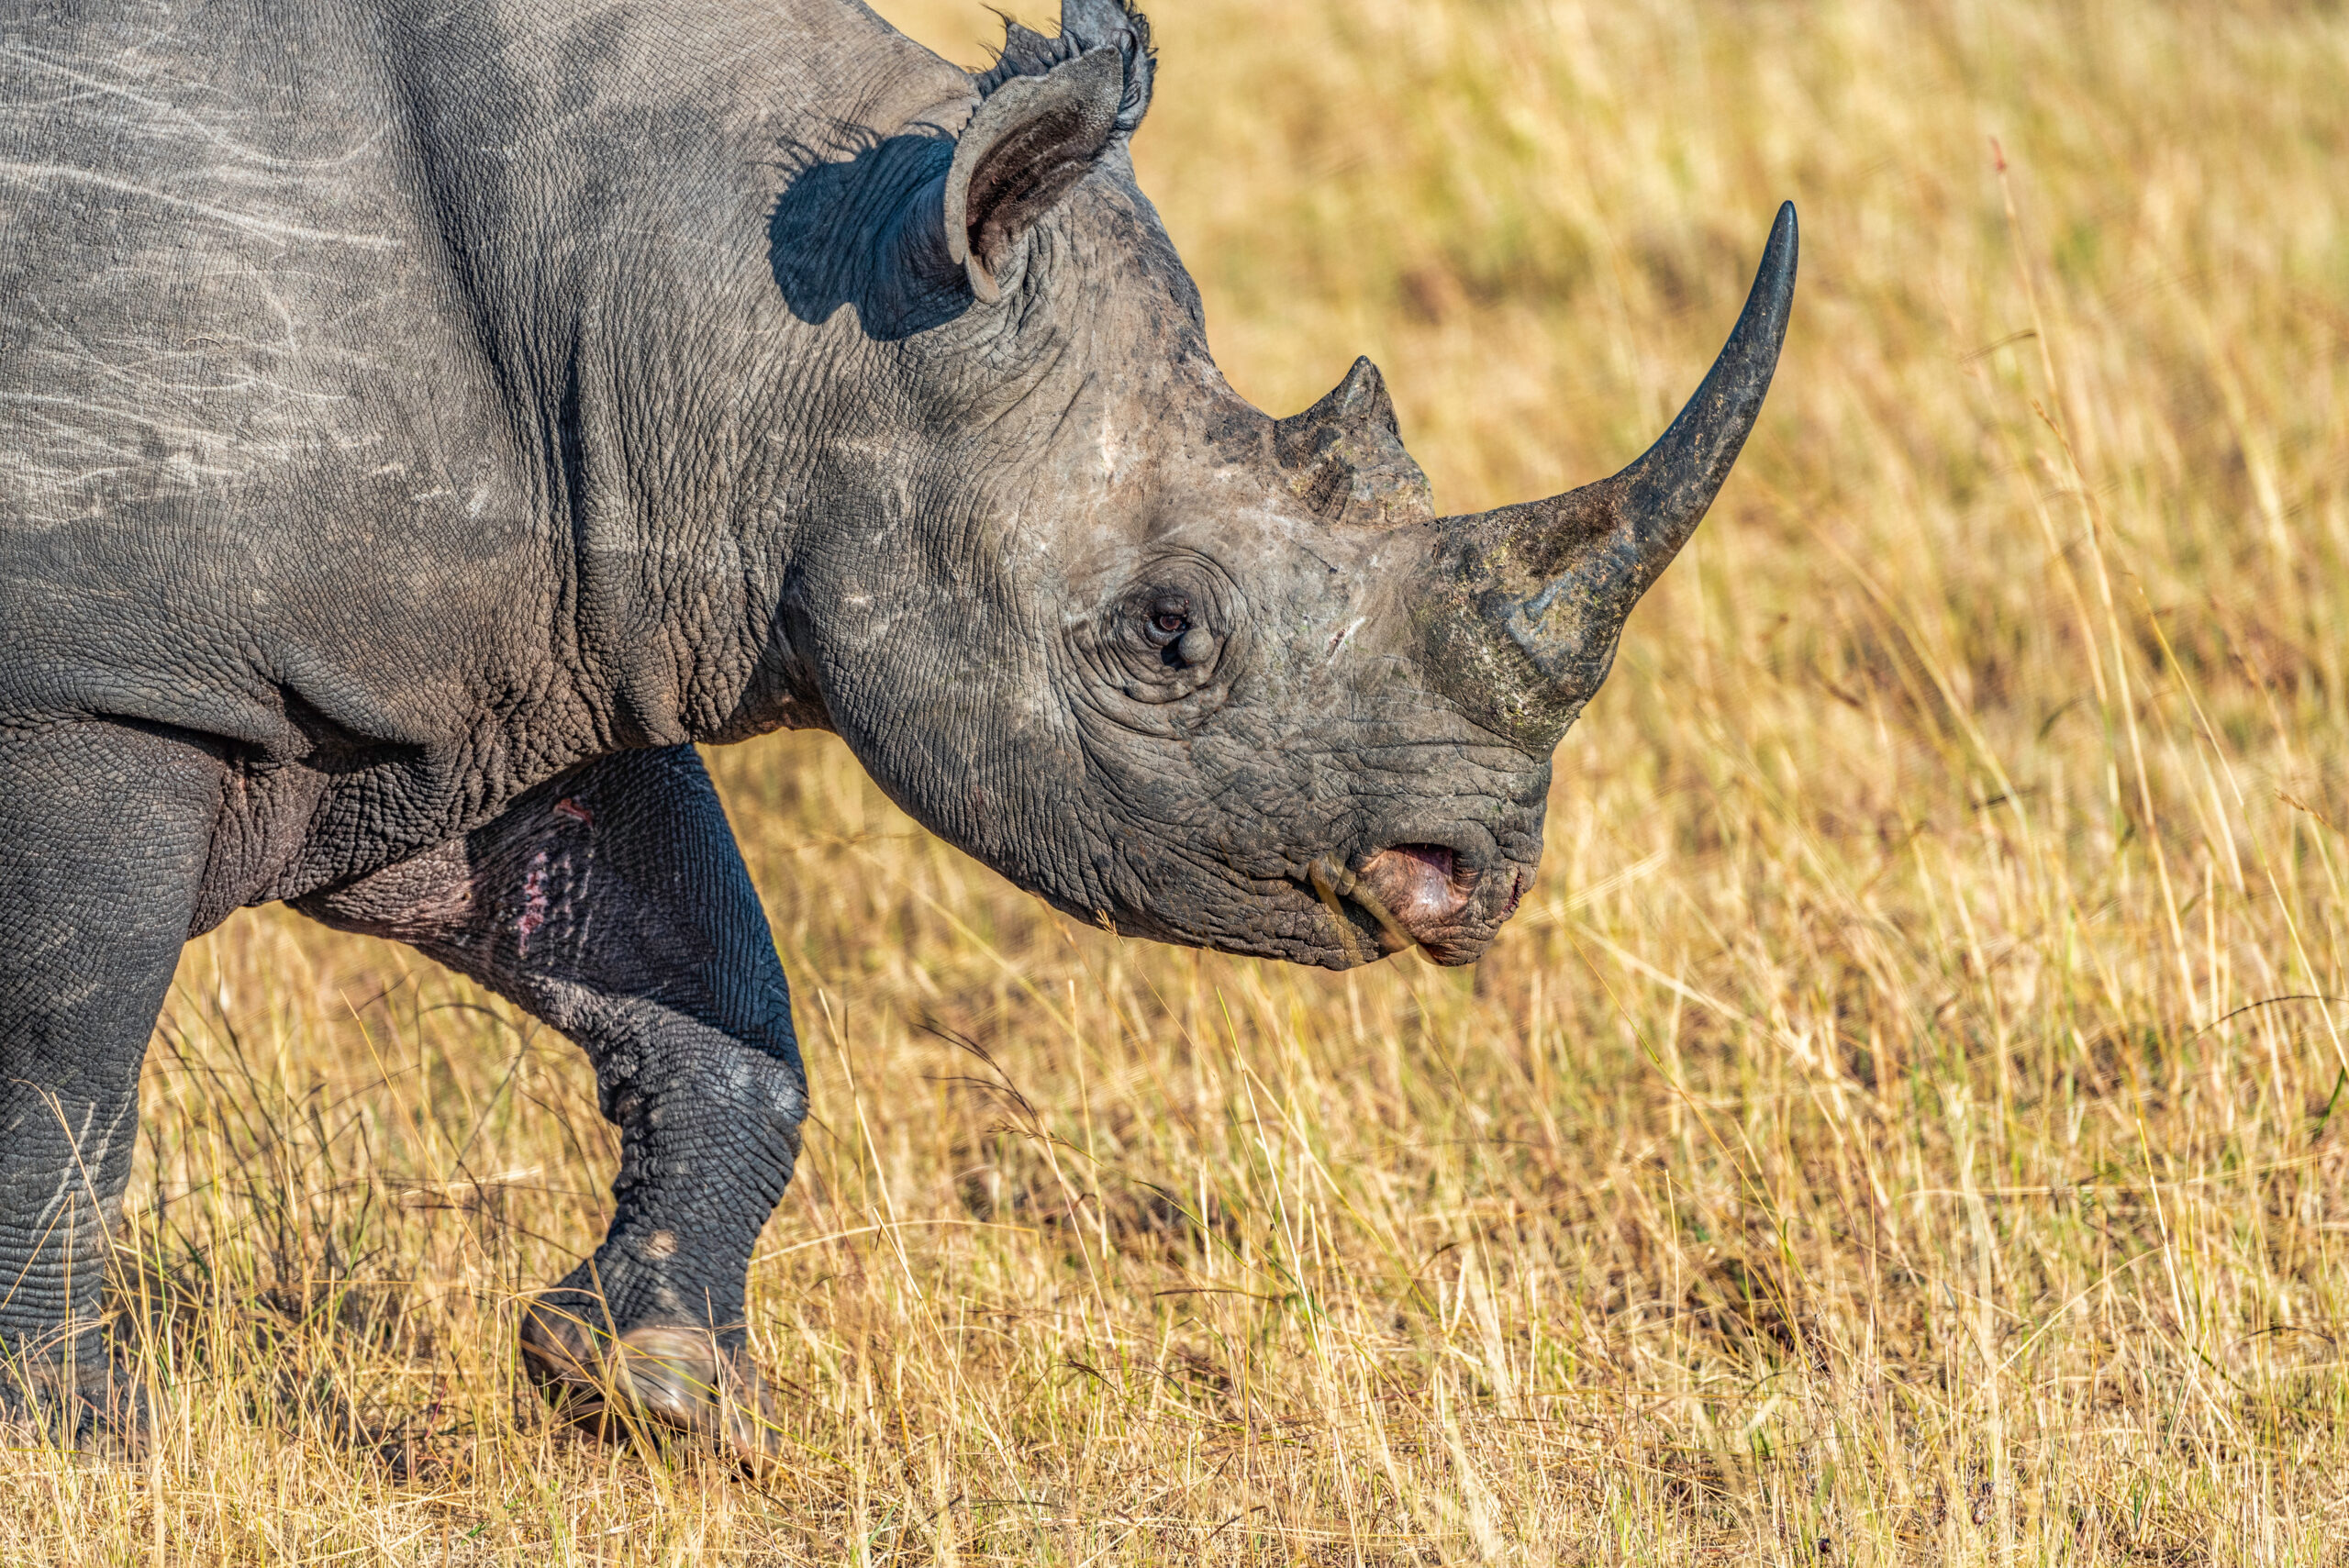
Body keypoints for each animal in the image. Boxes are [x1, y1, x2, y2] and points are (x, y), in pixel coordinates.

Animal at [0, 0, 1794, 1462]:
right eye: (1167, 634)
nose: (1471, 876)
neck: (736, 311)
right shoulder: (98, 684)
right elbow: (72, 1061)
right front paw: (88, 1444)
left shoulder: (507, 649)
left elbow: (707, 976)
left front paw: (656, 1391)